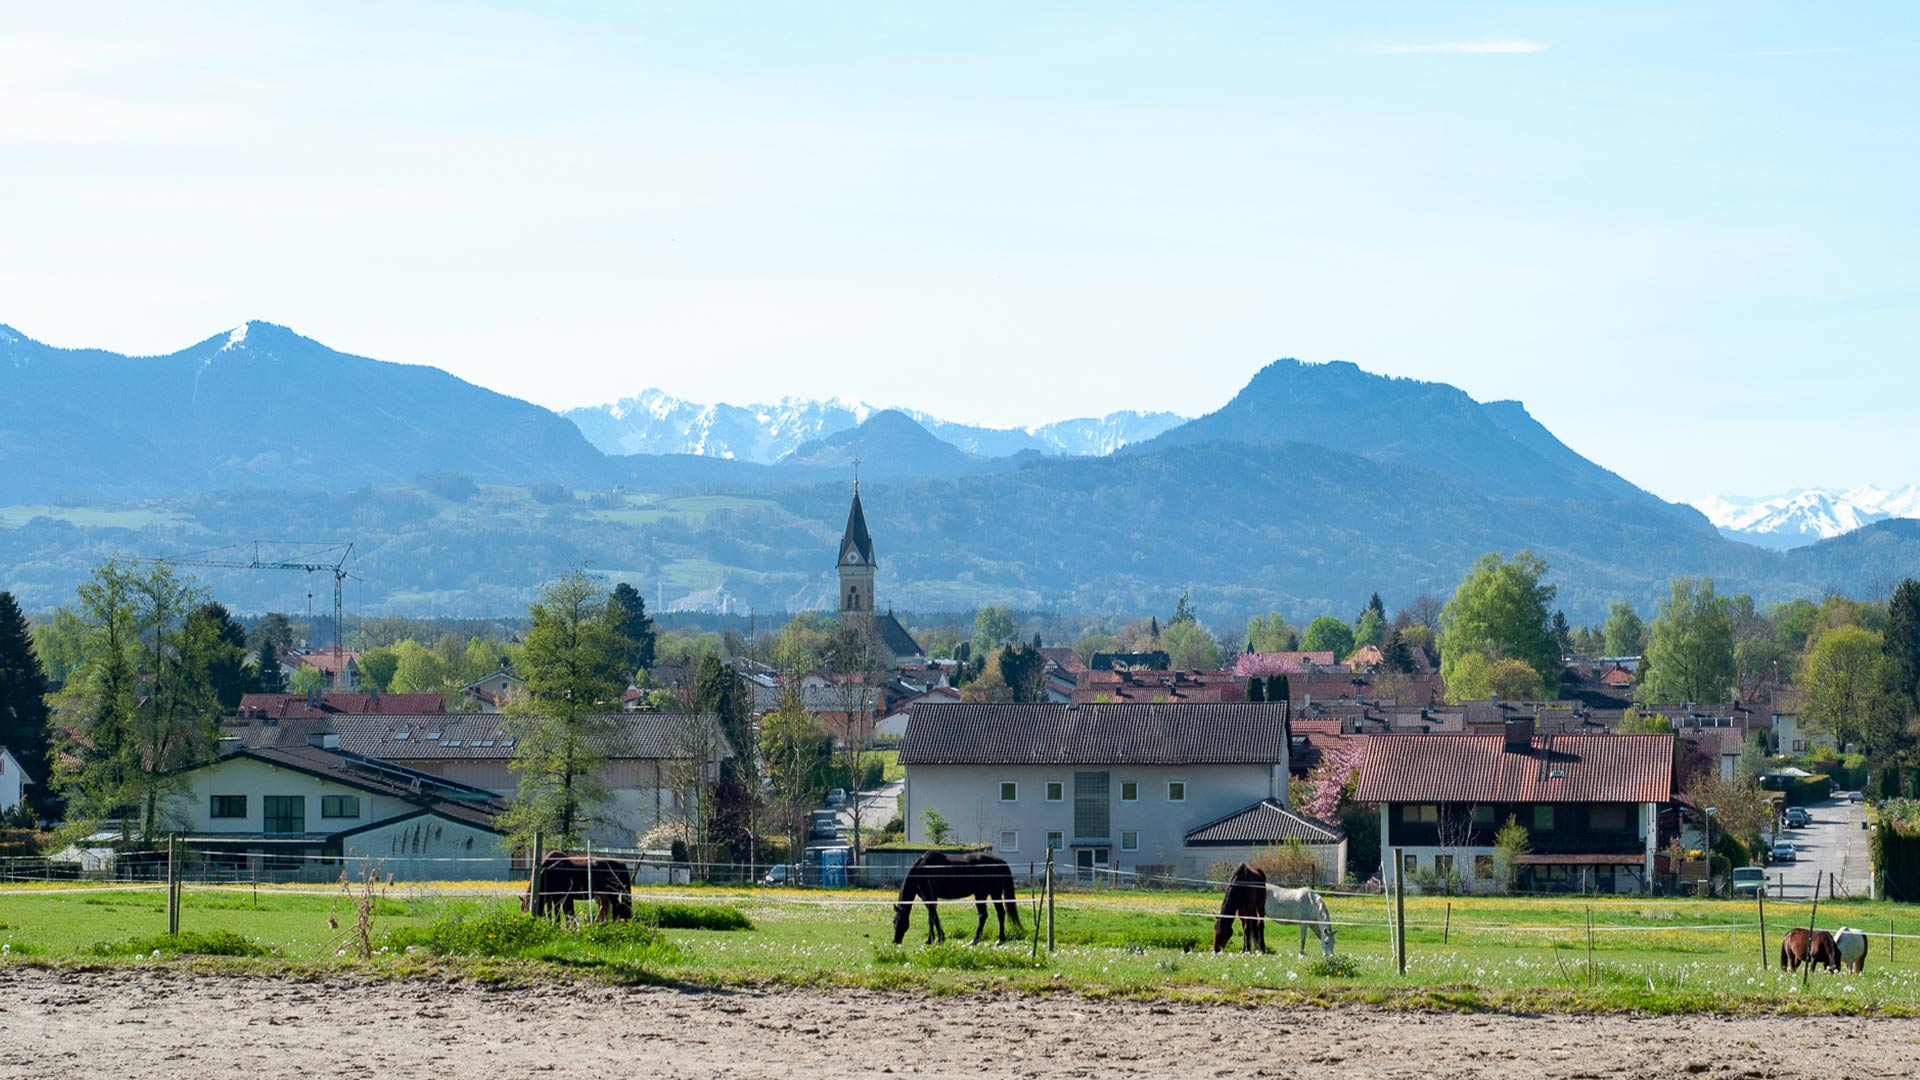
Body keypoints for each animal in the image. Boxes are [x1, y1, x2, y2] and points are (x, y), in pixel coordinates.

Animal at [890, 849, 1029, 941]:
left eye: (899, 921)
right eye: (893, 921)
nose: (895, 940)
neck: (922, 869)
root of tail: (1000, 862)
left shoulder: (930, 897)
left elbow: (933, 917)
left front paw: (939, 938)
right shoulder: (927, 899)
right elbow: (931, 917)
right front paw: (932, 939)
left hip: (990, 894)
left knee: (993, 914)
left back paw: (991, 940)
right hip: (985, 894)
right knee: (990, 914)